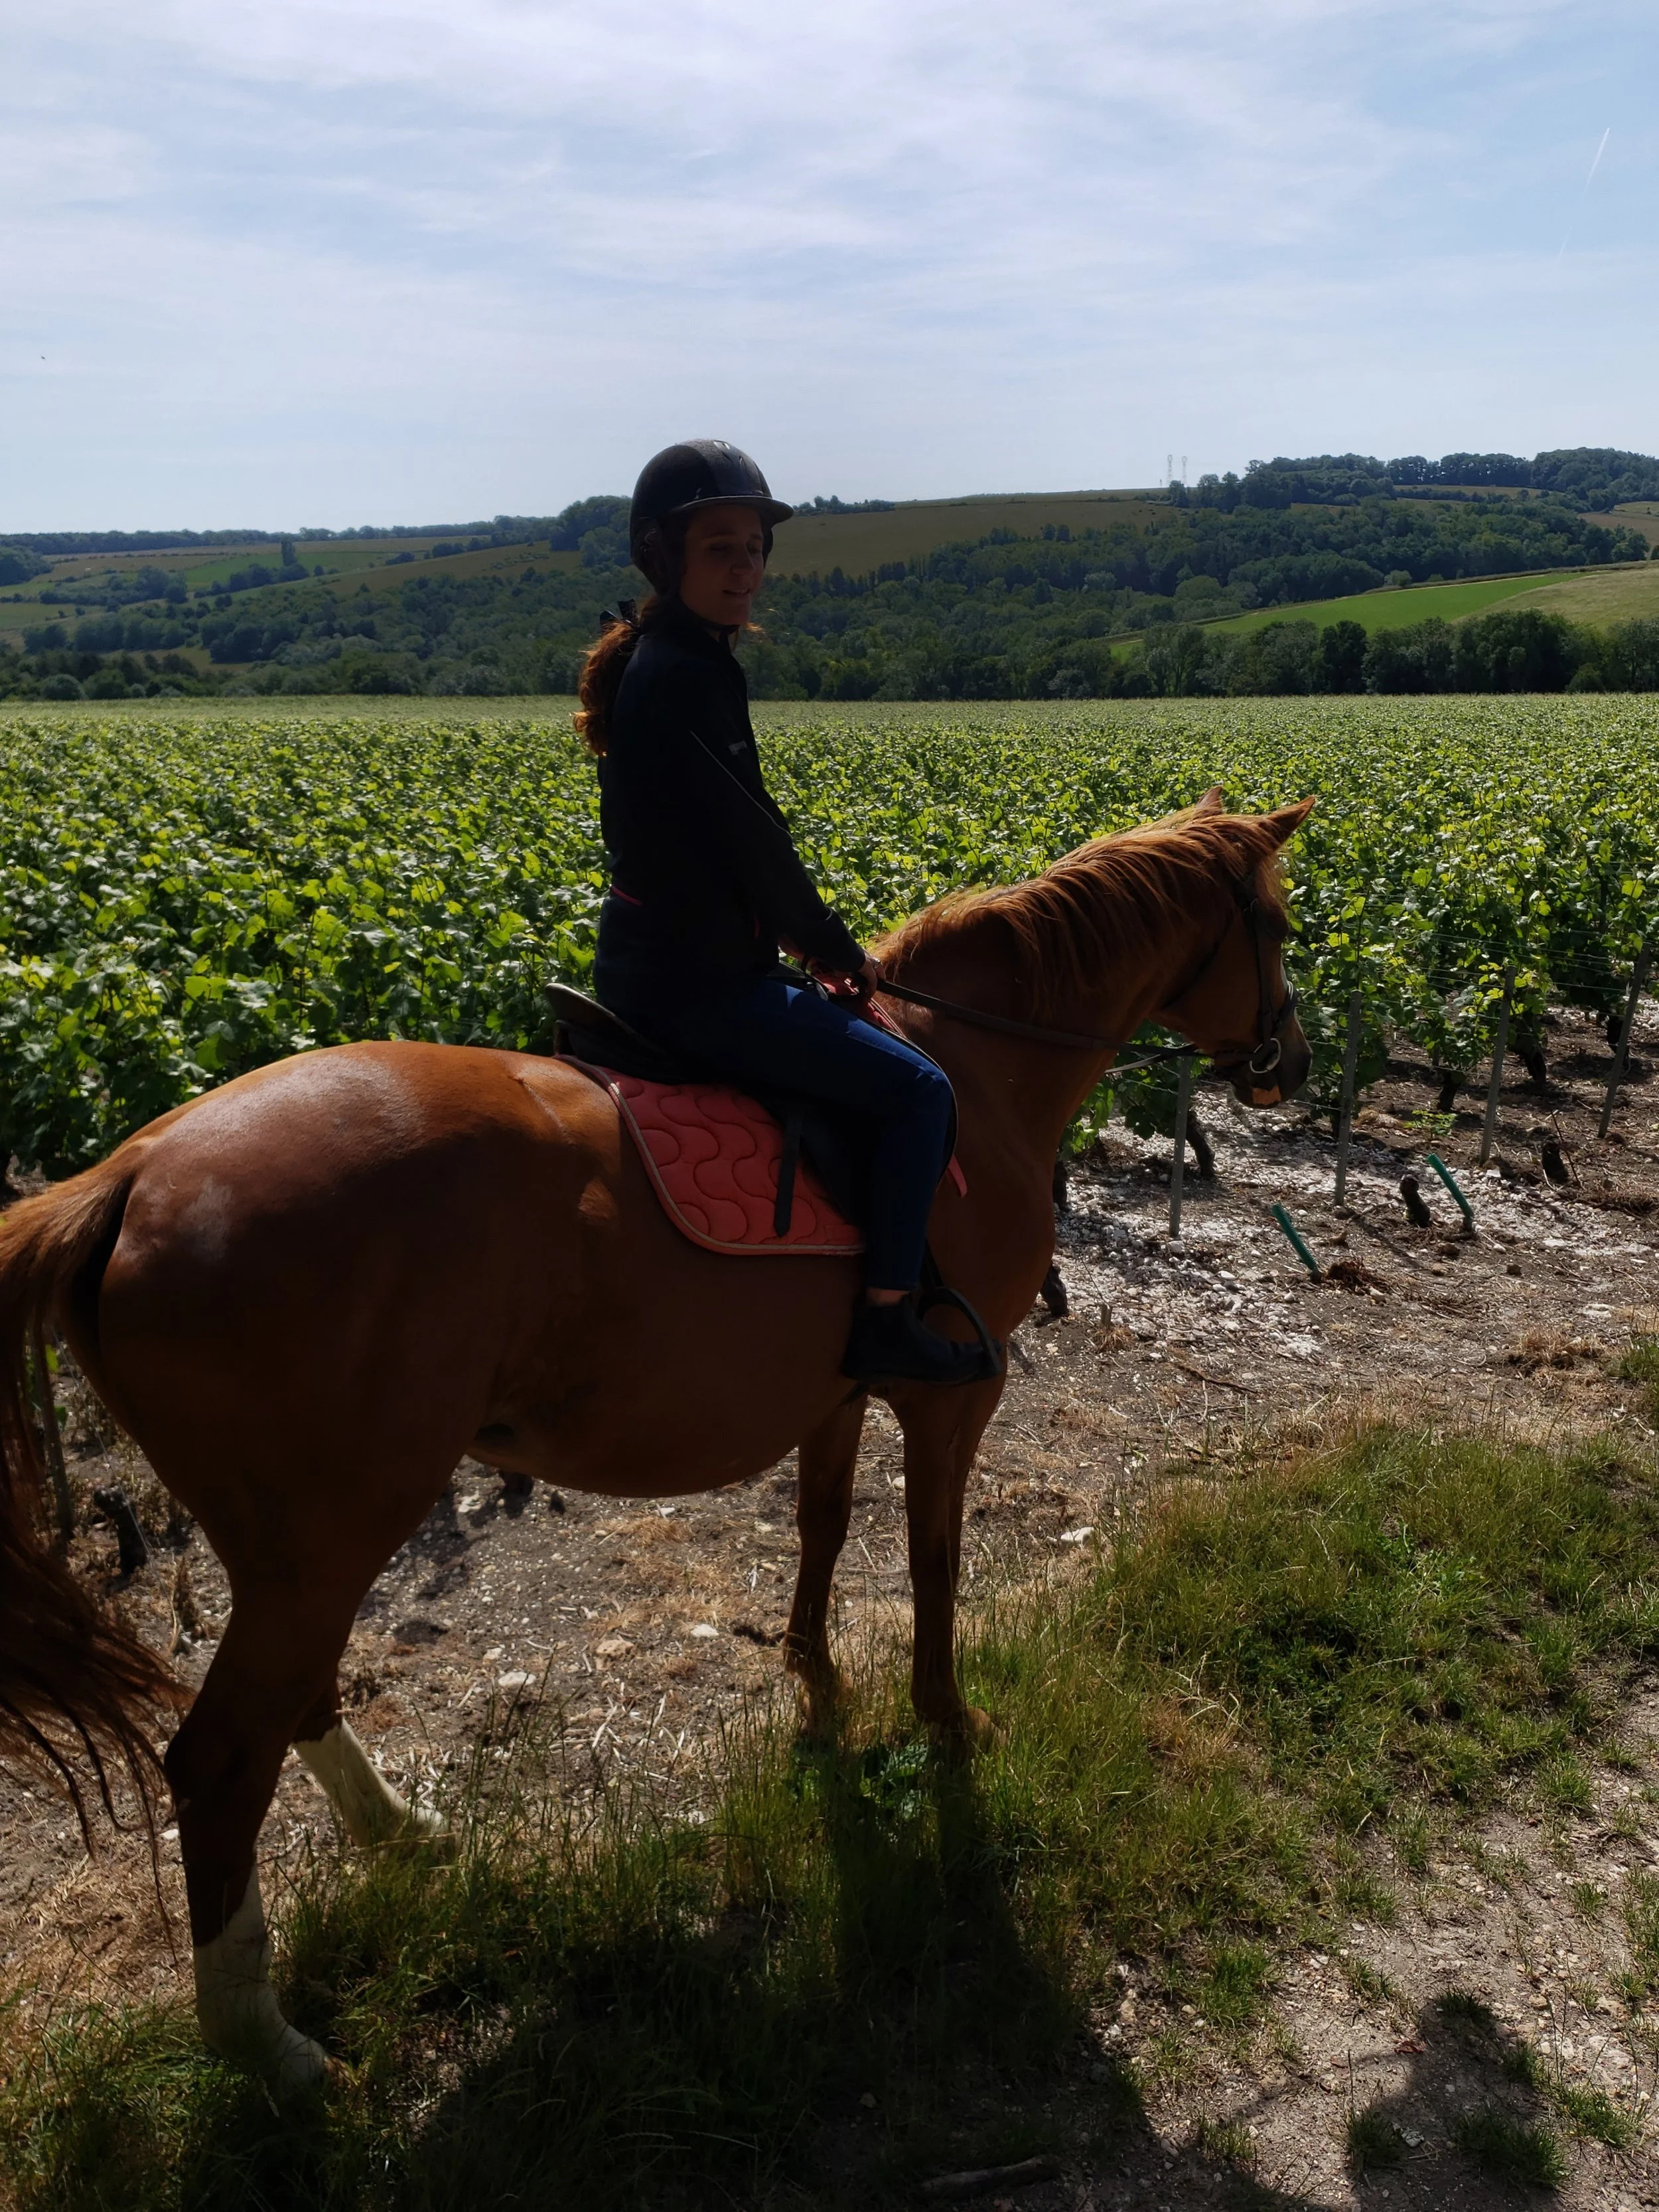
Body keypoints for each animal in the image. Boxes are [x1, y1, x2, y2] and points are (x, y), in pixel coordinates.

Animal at [0, 788, 1311, 2102]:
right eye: (1282, 923)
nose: (1286, 1063)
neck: (974, 1075)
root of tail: (132, 1171)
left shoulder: (839, 1393)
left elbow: (823, 1526)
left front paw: (818, 1682)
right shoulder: (954, 1397)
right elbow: (934, 1558)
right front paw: (947, 1718)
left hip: (293, 1549)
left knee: (292, 1702)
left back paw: (403, 1838)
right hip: (331, 1537)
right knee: (220, 1761)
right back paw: (271, 2049)